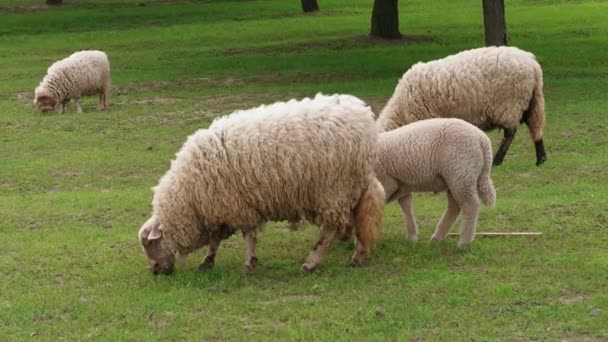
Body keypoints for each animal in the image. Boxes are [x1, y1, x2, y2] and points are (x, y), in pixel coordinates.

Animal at [138, 93, 384, 276]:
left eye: (149, 244)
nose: (156, 271)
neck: (189, 195)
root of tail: (363, 115)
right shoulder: (221, 209)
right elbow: (216, 239)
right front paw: (207, 262)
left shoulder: (236, 205)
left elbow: (247, 235)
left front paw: (249, 264)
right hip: (351, 186)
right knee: (359, 218)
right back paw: (359, 254)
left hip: (333, 189)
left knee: (330, 230)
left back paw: (312, 262)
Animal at [376, 117, 498, 246]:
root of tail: (482, 139)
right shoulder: (401, 183)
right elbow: (406, 206)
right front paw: (412, 236)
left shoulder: (386, 182)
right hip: (455, 178)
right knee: (454, 207)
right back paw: (437, 238)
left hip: (461, 173)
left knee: (470, 205)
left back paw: (464, 242)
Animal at [378, 45, 548, 167]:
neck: (401, 112)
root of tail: (532, 63)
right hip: (533, 100)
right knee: (536, 127)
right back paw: (541, 159)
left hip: (509, 104)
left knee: (510, 132)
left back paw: (497, 161)